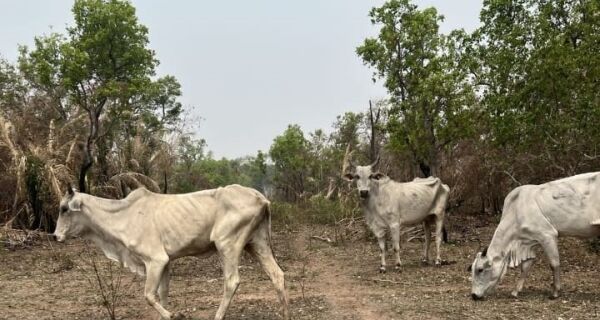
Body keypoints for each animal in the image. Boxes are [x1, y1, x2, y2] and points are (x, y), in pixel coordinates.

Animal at [52, 185, 292, 320]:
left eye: (64, 209)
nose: (55, 236)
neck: (124, 215)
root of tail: (262, 199)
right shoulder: (166, 263)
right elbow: (162, 294)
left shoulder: (155, 261)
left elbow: (149, 296)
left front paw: (174, 315)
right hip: (257, 244)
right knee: (277, 275)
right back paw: (285, 315)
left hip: (227, 244)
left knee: (232, 281)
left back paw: (218, 316)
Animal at [472, 172, 600, 300]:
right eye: (471, 269)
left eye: (480, 269)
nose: (473, 295)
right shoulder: (530, 241)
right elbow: (525, 266)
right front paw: (515, 291)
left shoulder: (548, 235)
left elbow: (554, 264)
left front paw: (555, 292)